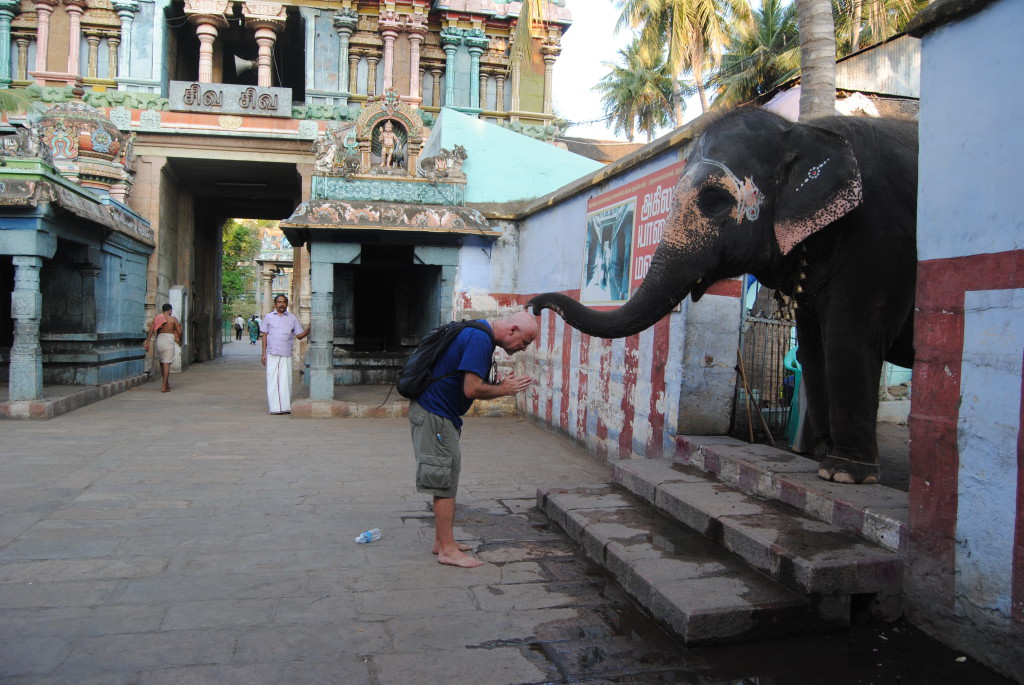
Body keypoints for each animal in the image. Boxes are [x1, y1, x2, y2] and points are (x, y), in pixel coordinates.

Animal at [528, 106, 921, 483]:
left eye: (714, 200)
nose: (533, 306)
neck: (801, 131)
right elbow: (814, 346)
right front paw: (823, 460)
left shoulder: (879, 237)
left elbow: (850, 337)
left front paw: (843, 474)